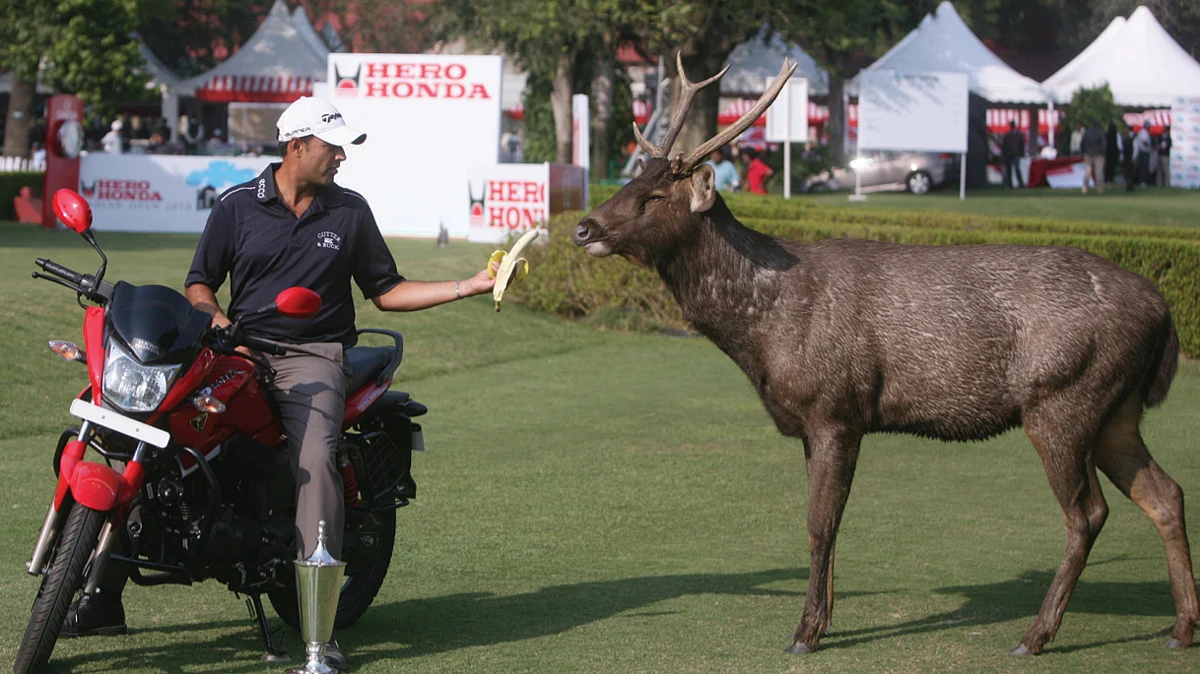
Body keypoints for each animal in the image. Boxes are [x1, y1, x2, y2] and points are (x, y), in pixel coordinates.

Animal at [576, 55, 1195, 652]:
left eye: (656, 195)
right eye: (630, 178)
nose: (584, 227)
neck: (763, 333)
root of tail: (1164, 310)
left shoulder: (833, 406)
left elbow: (818, 525)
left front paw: (804, 634)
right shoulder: (821, 422)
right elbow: (831, 523)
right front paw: (825, 622)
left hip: (1064, 398)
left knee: (1088, 513)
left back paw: (1036, 636)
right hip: (1116, 411)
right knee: (1166, 493)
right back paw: (1181, 627)